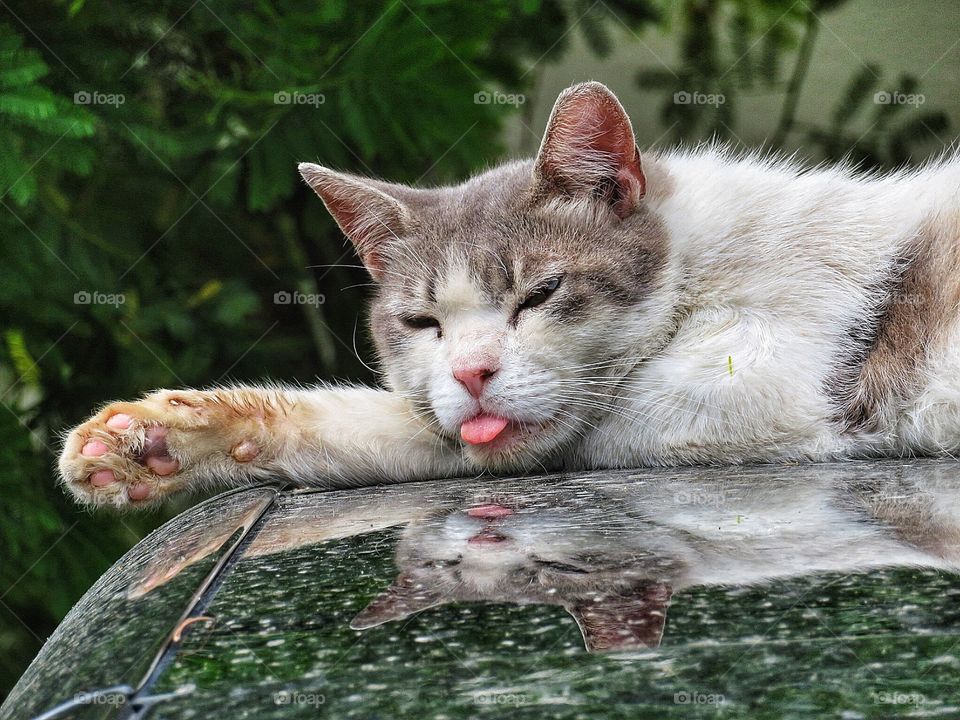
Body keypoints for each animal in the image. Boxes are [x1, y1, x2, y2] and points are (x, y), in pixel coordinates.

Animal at [58, 81, 960, 510]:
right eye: (422, 322)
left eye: (540, 293)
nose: (472, 374)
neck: (696, 260)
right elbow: (388, 425)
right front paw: (157, 440)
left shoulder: (744, 388)